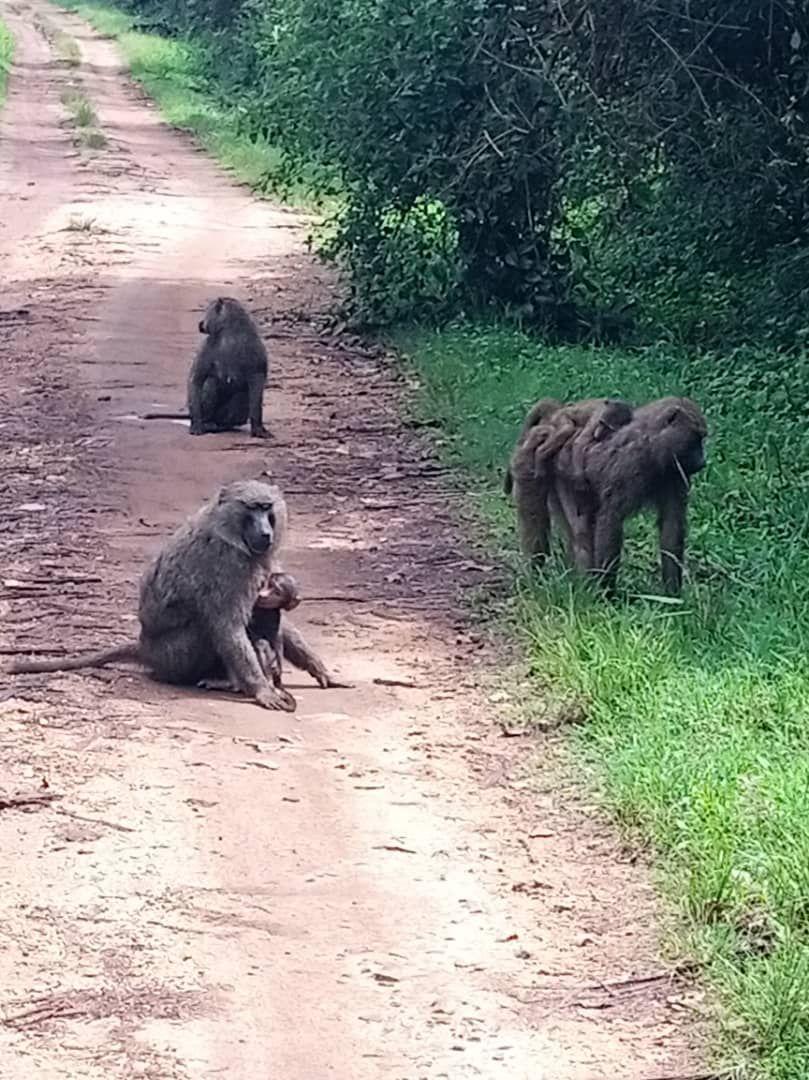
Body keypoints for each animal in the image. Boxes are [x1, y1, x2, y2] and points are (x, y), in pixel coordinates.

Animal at [6, 480, 349, 708]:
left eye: (268, 509)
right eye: (251, 509)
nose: (265, 533)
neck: (227, 530)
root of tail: (145, 647)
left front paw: (321, 670)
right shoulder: (227, 564)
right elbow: (228, 625)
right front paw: (261, 689)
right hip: (173, 657)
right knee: (205, 628)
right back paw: (224, 680)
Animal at [187, 297, 270, 439]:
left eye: (207, 310)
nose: (201, 323)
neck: (230, 332)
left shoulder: (253, 344)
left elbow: (257, 380)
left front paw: (258, 428)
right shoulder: (207, 345)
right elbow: (197, 379)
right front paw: (196, 424)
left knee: (242, 393)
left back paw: (223, 425)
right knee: (211, 382)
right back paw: (208, 423)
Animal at [552, 396, 708, 595]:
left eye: (701, 438)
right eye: (696, 438)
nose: (703, 461)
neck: (654, 442)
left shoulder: (677, 473)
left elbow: (672, 525)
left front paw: (672, 593)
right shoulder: (632, 462)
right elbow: (612, 519)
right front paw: (607, 592)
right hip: (564, 475)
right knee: (581, 532)